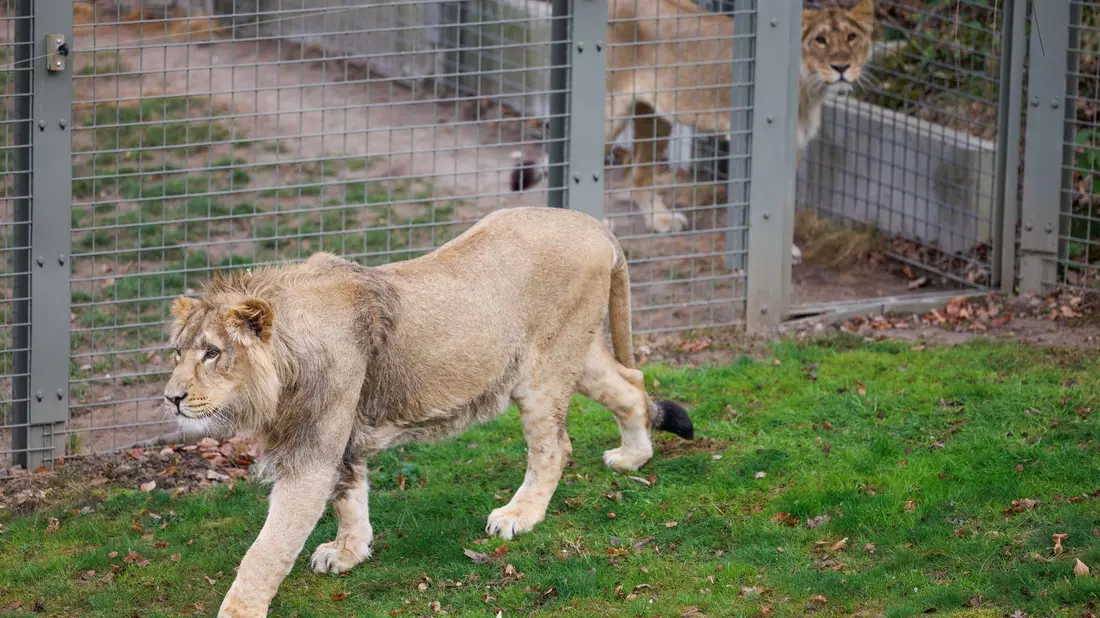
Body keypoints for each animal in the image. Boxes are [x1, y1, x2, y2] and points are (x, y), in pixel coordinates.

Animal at [162, 206, 694, 618]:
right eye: (177, 353)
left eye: (212, 353)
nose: (172, 398)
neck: (281, 372)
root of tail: (592, 223)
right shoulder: (343, 438)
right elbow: (350, 496)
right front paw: (350, 552)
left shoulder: (312, 451)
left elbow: (266, 550)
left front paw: (239, 609)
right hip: (570, 354)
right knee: (630, 384)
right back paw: (633, 456)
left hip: (544, 370)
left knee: (556, 446)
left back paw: (520, 514)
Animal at [510, 0, 876, 264]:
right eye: (820, 40)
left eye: (852, 38)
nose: (841, 67)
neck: (811, 88)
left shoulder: (794, 149)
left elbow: (783, 203)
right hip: (608, 112)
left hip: (654, 114)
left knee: (639, 175)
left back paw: (660, 220)